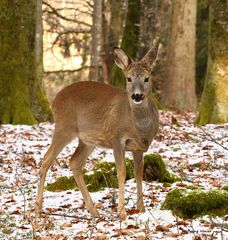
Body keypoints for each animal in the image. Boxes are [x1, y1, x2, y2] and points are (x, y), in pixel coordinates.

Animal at [35, 40, 160, 218]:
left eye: (146, 78)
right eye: (128, 79)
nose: (136, 96)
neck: (138, 127)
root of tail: (55, 99)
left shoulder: (138, 148)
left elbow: (138, 173)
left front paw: (141, 209)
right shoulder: (116, 138)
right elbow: (121, 172)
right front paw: (122, 212)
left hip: (87, 140)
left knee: (74, 162)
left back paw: (94, 211)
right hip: (64, 127)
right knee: (46, 160)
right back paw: (37, 210)